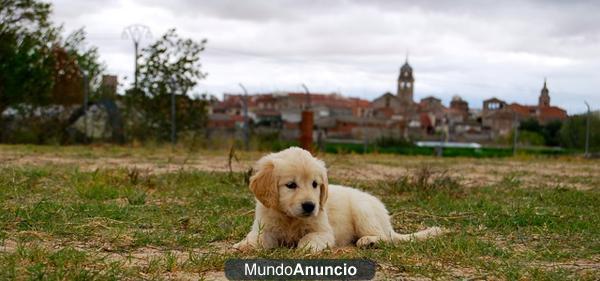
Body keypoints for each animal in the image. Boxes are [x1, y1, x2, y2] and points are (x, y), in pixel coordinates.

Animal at [234, 147, 446, 252]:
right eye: (291, 185)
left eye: (315, 184)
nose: (310, 206)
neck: (290, 218)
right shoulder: (264, 226)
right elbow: (256, 237)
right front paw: (244, 245)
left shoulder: (324, 231)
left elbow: (310, 236)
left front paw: (306, 246)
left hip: (363, 210)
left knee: (385, 237)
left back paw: (369, 241)